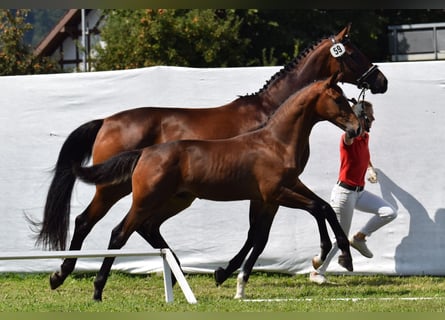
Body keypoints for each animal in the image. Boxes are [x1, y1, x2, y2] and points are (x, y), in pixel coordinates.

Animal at [73, 72, 360, 300]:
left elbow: (317, 211)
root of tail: (143, 153)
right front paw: (324, 253)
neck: (276, 142)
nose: (356, 128)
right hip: (145, 201)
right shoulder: (276, 193)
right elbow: (315, 209)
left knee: (144, 228)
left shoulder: (281, 192)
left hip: (173, 200)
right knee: (118, 233)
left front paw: (344, 256)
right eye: (338, 98)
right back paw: (97, 289)